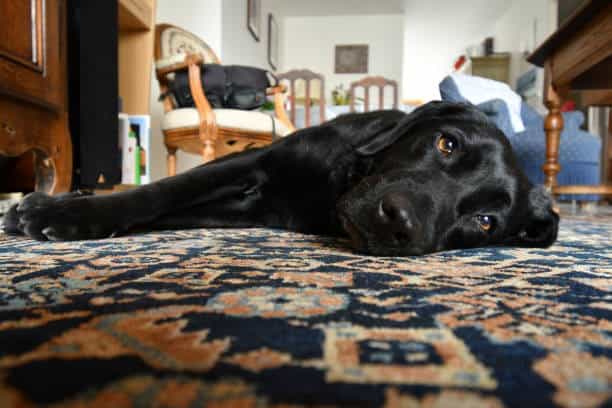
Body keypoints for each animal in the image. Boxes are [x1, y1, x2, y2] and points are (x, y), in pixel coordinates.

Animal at [3, 102, 560, 255]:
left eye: (485, 222)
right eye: (447, 143)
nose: (399, 222)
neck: (334, 188)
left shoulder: (249, 209)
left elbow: (167, 213)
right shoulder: (256, 162)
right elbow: (161, 191)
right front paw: (62, 210)